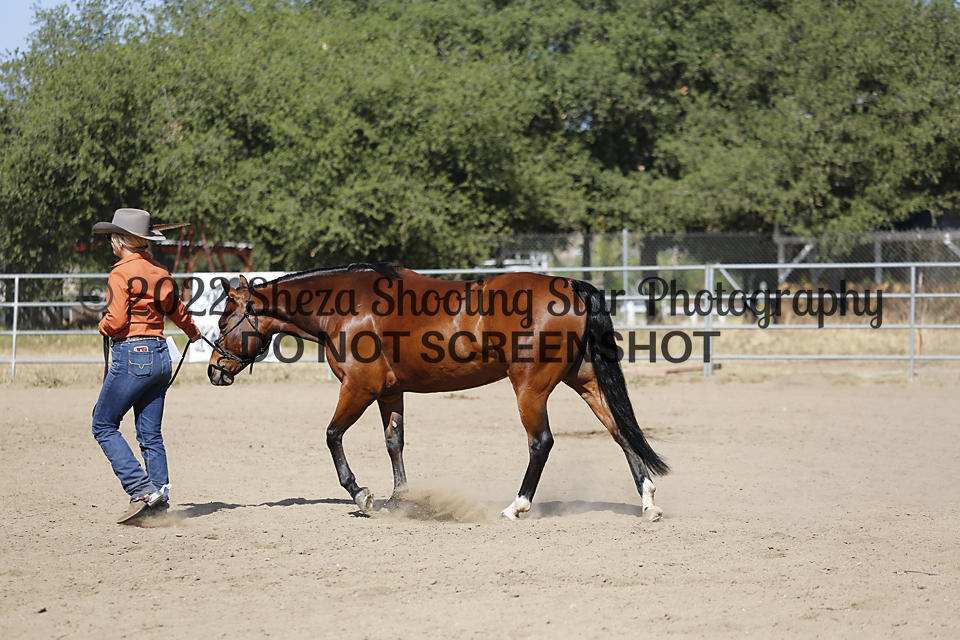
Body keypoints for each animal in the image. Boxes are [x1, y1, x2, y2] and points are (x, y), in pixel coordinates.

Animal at [206, 263, 668, 520]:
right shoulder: (389, 393)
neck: (347, 307)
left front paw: (363, 495)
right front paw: (402, 500)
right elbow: (394, 443)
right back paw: (647, 502)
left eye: (225, 319)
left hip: (530, 388)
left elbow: (332, 436)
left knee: (541, 442)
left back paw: (516, 506)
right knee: (620, 431)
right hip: (585, 382)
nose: (214, 371)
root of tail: (570, 285)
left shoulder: (358, 388)